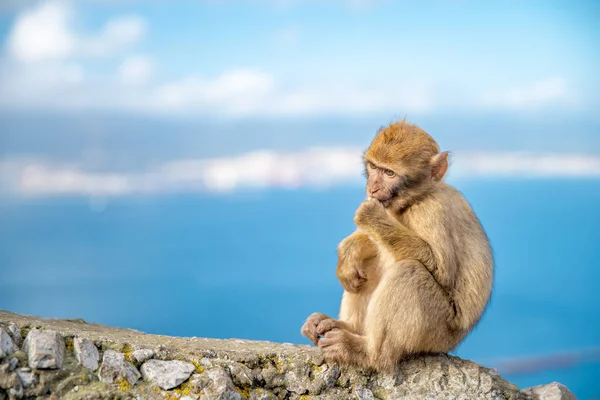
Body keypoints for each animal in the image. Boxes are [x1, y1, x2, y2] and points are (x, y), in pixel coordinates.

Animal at [298, 119, 492, 376]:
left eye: (389, 173)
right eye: (373, 167)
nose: (372, 188)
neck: (416, 199)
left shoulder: (431, 211)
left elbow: (442, 271)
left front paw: (370, 215)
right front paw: (349, 251)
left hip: (438, 332)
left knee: (409, 272)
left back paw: (366, 352)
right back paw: (349, 326)